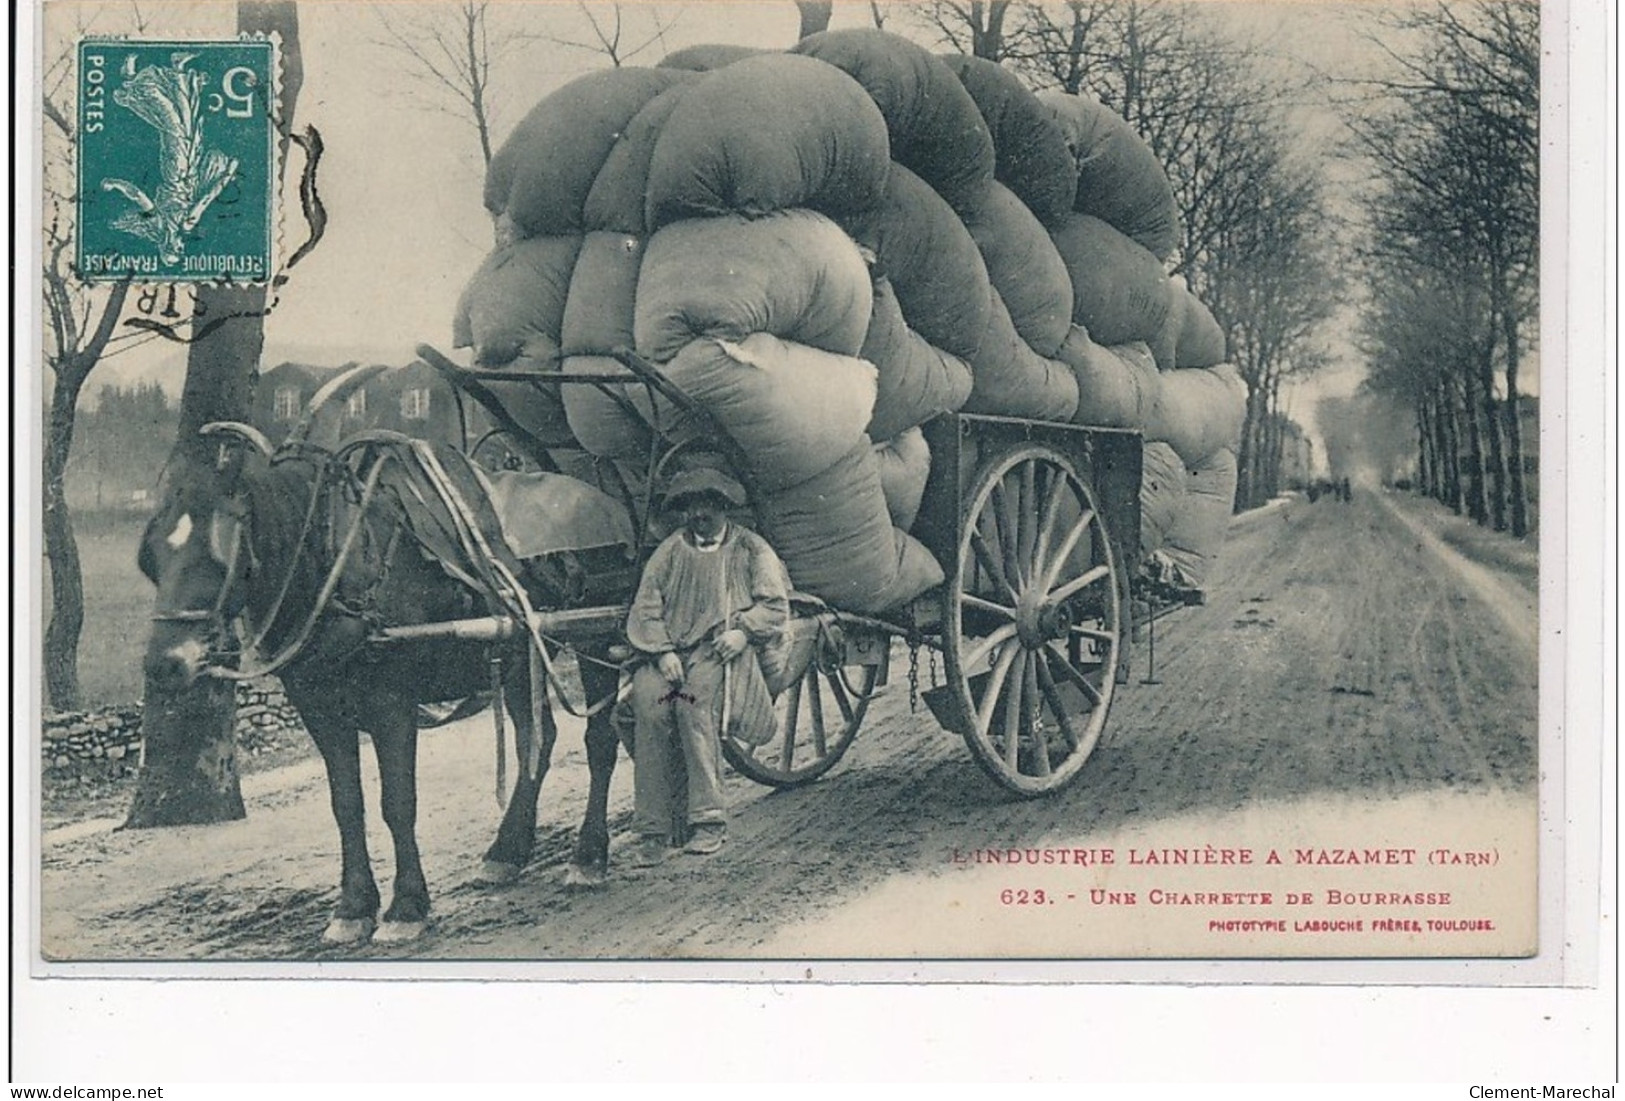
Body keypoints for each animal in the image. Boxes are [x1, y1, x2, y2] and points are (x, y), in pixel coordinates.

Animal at [139, 370, 627, 948]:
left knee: (600, 740)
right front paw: (353, 906)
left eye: (221, 549)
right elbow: (346, 805)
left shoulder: (393, 704)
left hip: (597, 639)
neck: (336, 562)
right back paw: (507, 850)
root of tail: (598, 494)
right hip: (517, 653)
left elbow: (398, 802)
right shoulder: (319, 708)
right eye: (151, 556)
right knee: (538, 738)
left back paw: (589, 854)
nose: (165, 664)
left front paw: (406, 906)